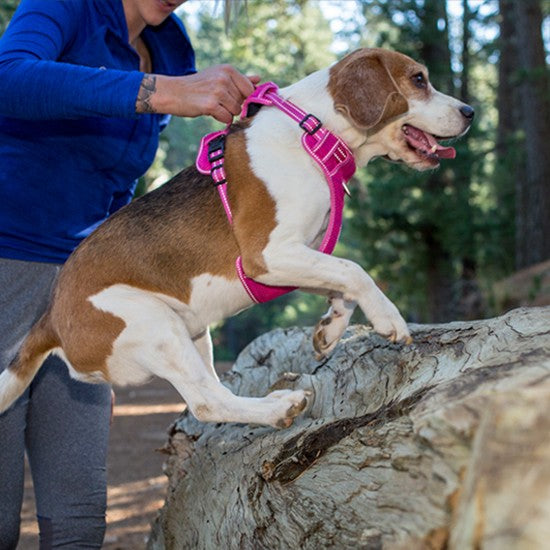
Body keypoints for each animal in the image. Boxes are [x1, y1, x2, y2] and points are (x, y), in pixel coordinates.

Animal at [0, 49, 474, 430]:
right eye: (418, 79)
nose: (470, 111)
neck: (313, 133)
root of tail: (51, 318)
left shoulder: (296, 256)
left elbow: (340, 278)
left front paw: (332, 328)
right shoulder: (267, 254)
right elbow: (354, 270)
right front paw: (388, 317)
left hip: (193, 333)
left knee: (212, 397)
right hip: (155, 326)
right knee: (207, 403)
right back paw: (277, 409)